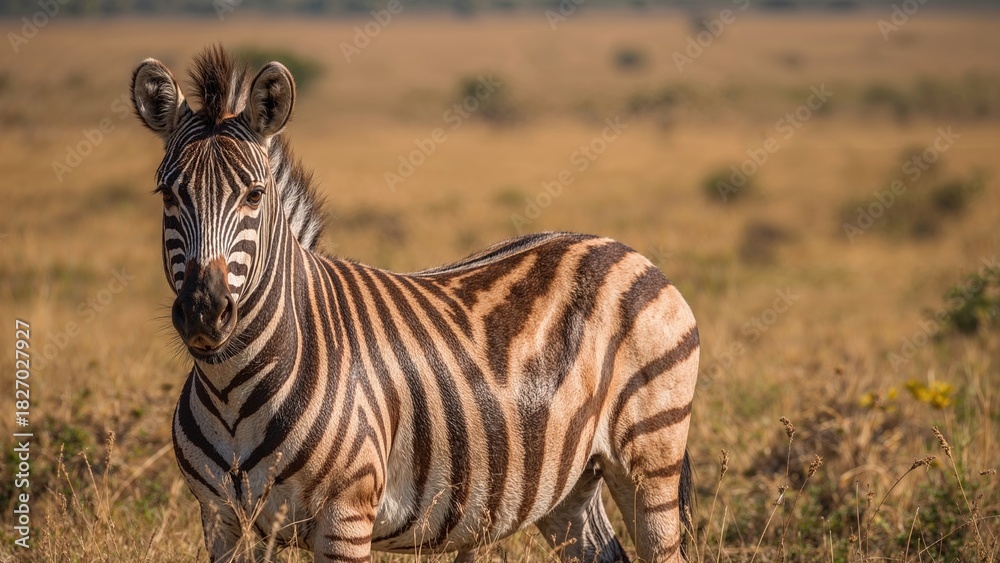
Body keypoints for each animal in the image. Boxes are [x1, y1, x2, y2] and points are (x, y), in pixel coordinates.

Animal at [131, 46, 699, 562]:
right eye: (167, 195)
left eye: (254, 195)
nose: (204, 311)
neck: (231, 389)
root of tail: (625, 251)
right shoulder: (221, 519)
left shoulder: (346, 518)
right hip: (568, 479)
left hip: (650, 454)